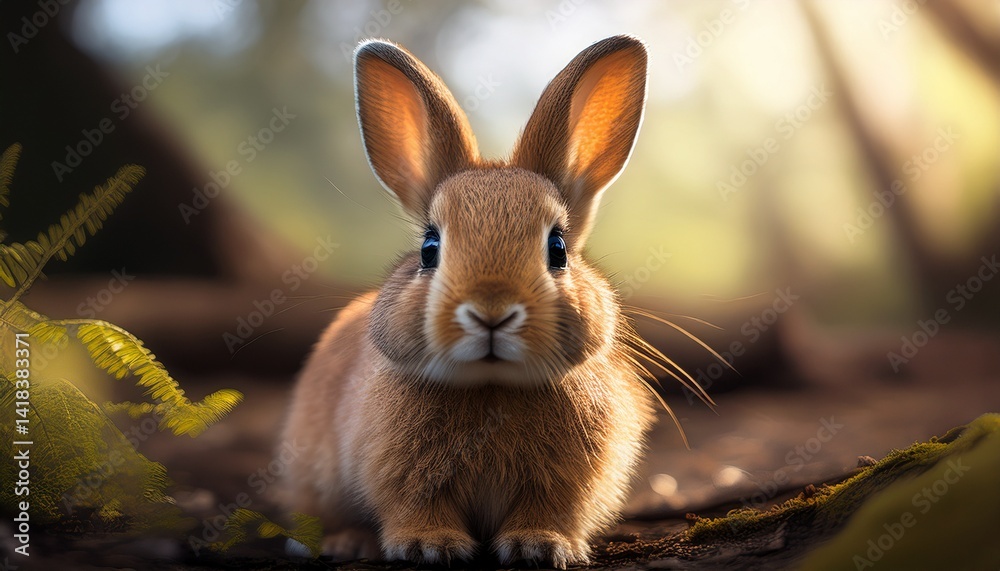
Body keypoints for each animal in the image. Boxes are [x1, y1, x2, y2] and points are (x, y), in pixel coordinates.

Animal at [281, 35, 658, 569]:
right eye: (429, 249)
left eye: (558, 248)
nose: (491, 312)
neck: (490, 385)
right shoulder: (402, 475)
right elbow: (415, 505)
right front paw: (429, 546)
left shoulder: (564, 484)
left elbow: (548, 511)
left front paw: (539, 546)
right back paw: (343, 542)